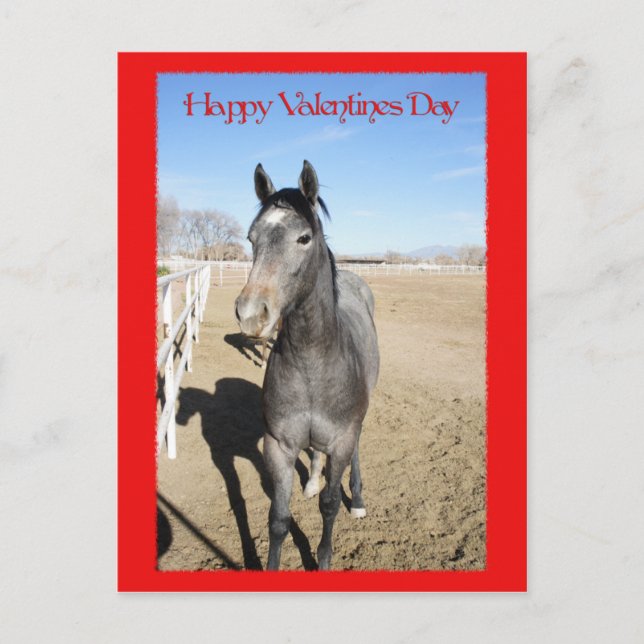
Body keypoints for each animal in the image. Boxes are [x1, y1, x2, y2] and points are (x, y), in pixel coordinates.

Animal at [234, 160, 379, 570]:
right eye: (251, 238)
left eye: (303, 238)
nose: (251, 314)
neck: (313, 360)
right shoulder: (278, 446)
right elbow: (278, 520)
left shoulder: (342, 438)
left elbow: (330, 506)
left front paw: (324, 559)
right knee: (315, 452)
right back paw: (313, 480)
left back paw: (357, 499)